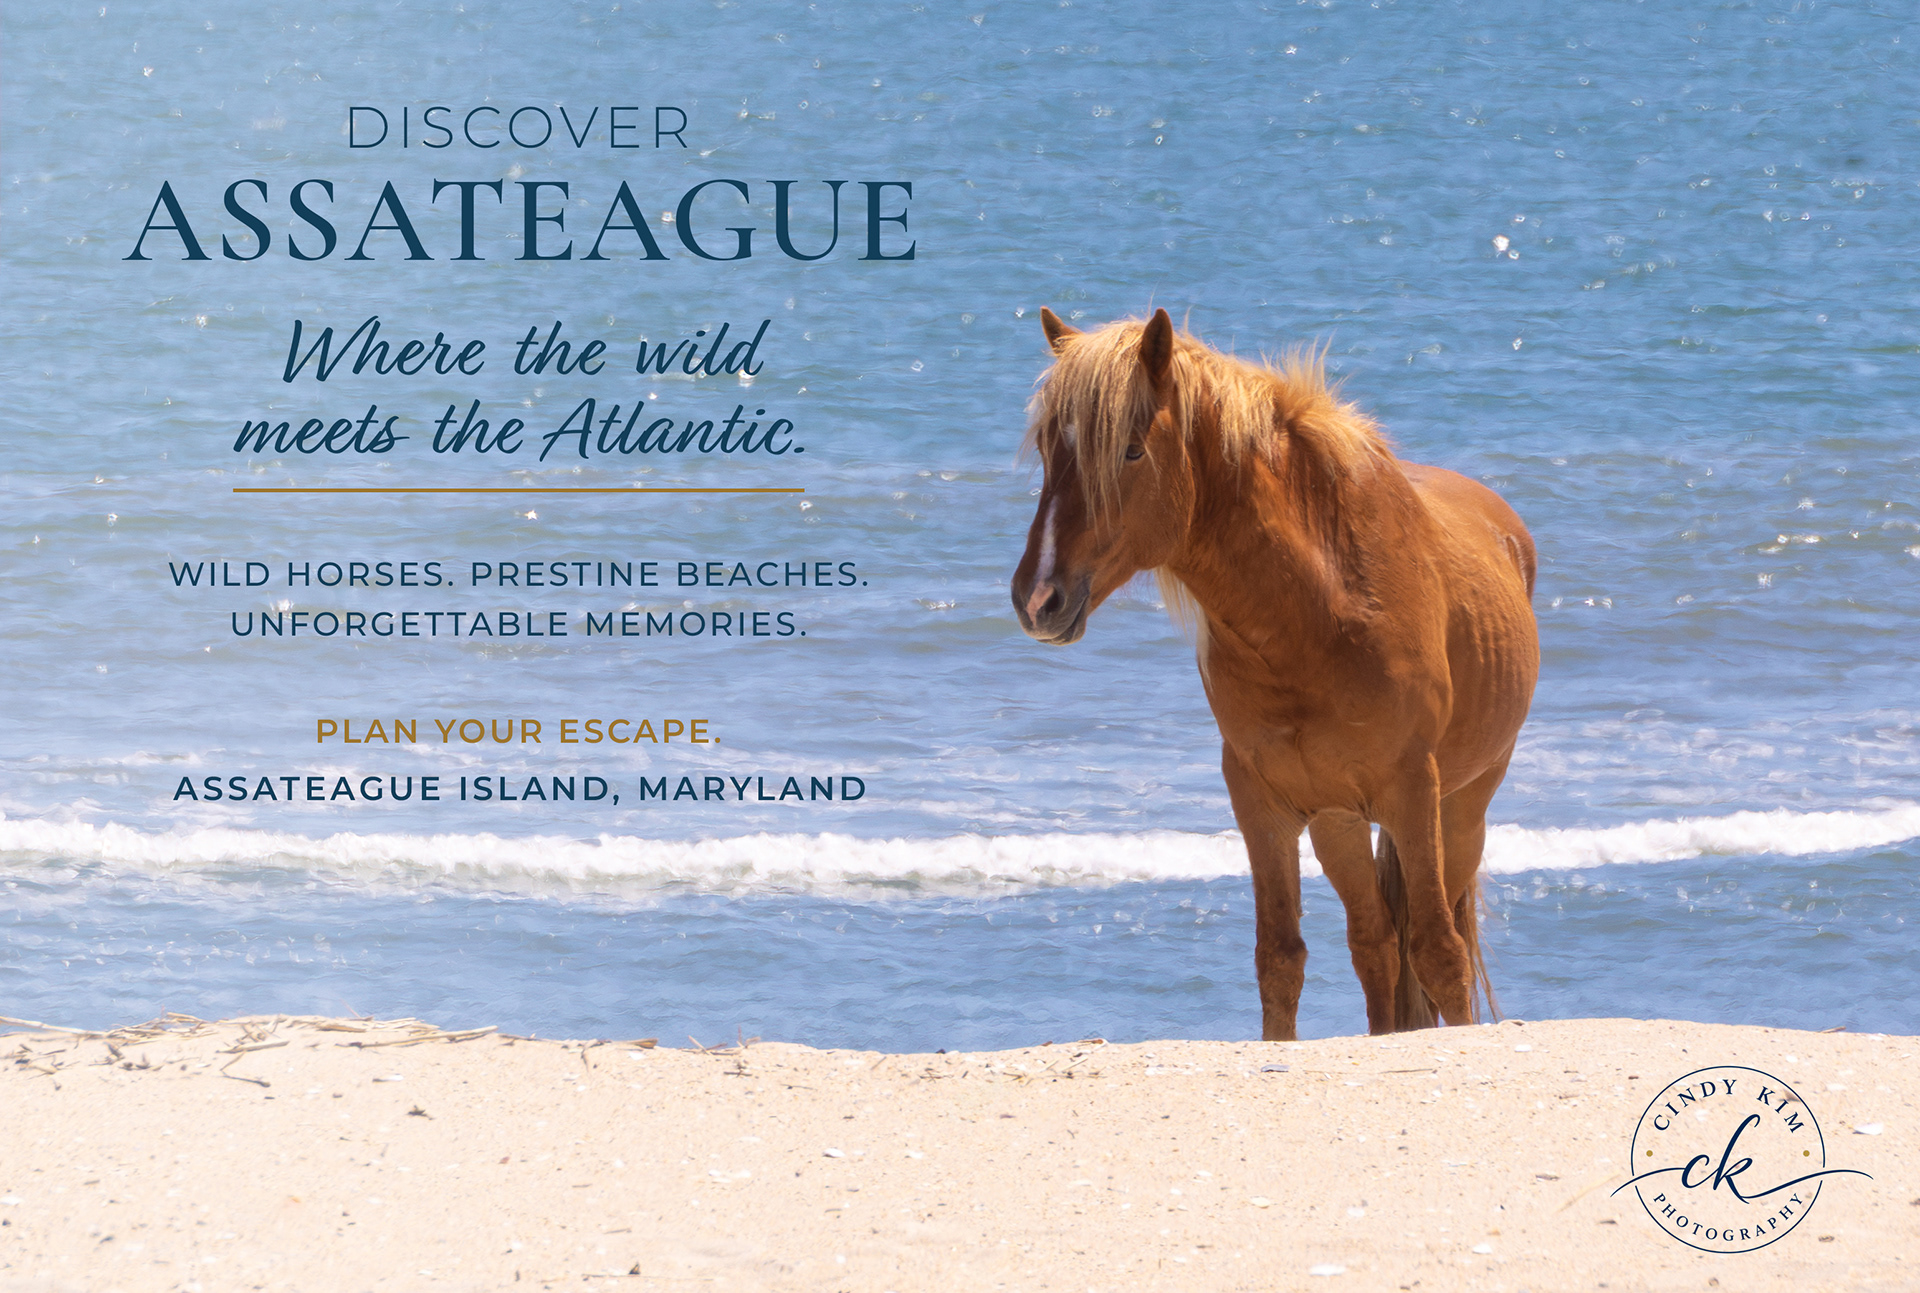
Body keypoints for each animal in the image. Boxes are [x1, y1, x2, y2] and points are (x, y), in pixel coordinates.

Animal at [1011, 308, 1539, 1039]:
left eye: (1131, 451)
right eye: (1044, 449)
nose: (1038, 599)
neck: (1322, 610)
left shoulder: (1413, 791)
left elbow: (1438, 951)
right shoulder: (1262, 804)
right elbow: (1280, 958)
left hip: (1462, 808)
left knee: (1425, 937)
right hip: (1337, 820)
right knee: (1375, 941)